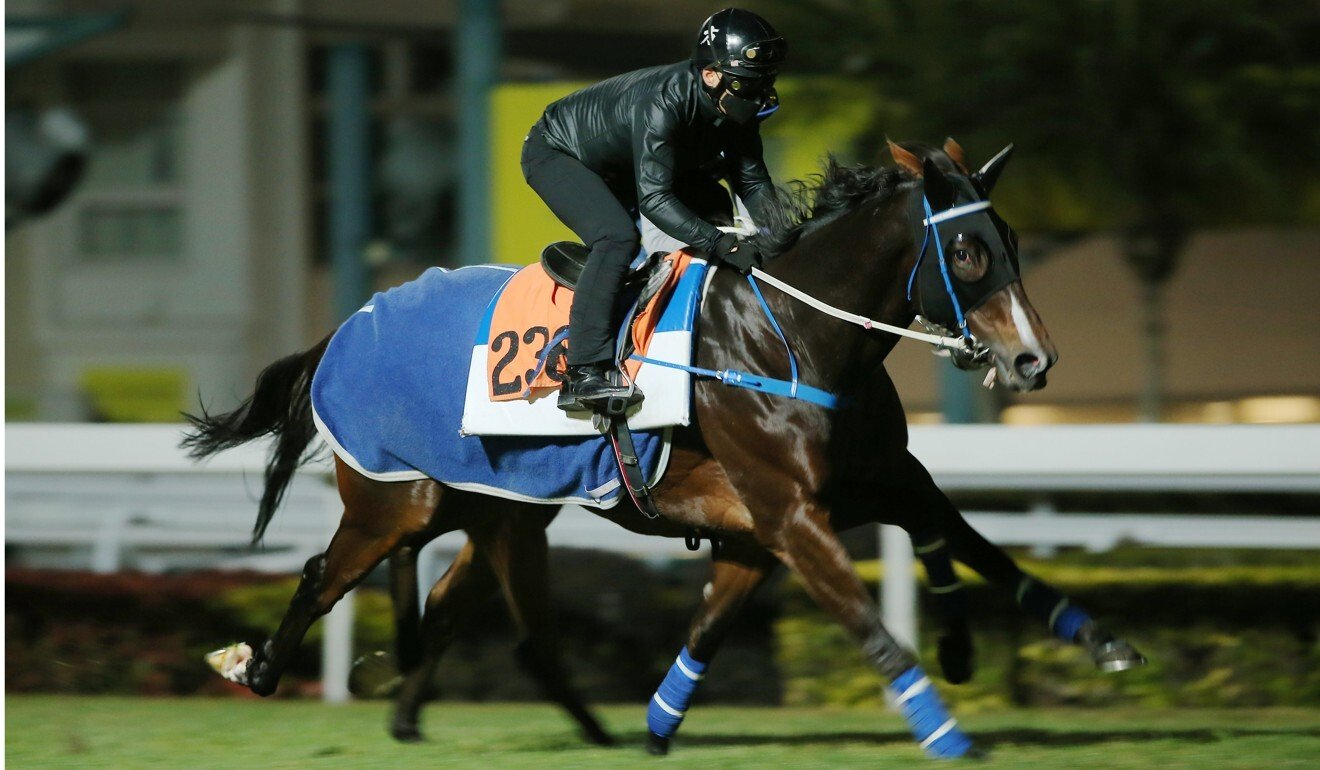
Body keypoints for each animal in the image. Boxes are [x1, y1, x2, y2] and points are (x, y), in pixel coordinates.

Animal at [188, 140, 1145, 760]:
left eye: (1011, 242)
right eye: (969, 251)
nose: (1034, 359)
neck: (792, 334)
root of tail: (349, 324)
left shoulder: (843, 494)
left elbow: (975, 547)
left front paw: (1098, 641)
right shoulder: (788, 512)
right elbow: (869, 624)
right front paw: (945, 731)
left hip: (499, 508)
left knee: (483, 617)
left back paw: (482, 723)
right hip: (400, 501)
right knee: (322, 577)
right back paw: (256, 667)